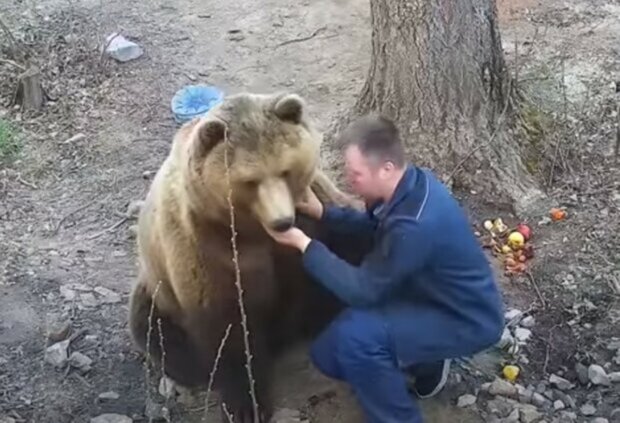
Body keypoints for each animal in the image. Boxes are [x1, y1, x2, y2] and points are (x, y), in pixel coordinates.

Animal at [126, 92, 368, 423]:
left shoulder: (313, 206)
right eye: (250, 181)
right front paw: (246, 404)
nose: (282, 221)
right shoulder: (207, 248)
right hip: (157, 292)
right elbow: (229, 325)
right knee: (158, 334)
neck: (252, 229)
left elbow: (352, 241)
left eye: (285, 170)